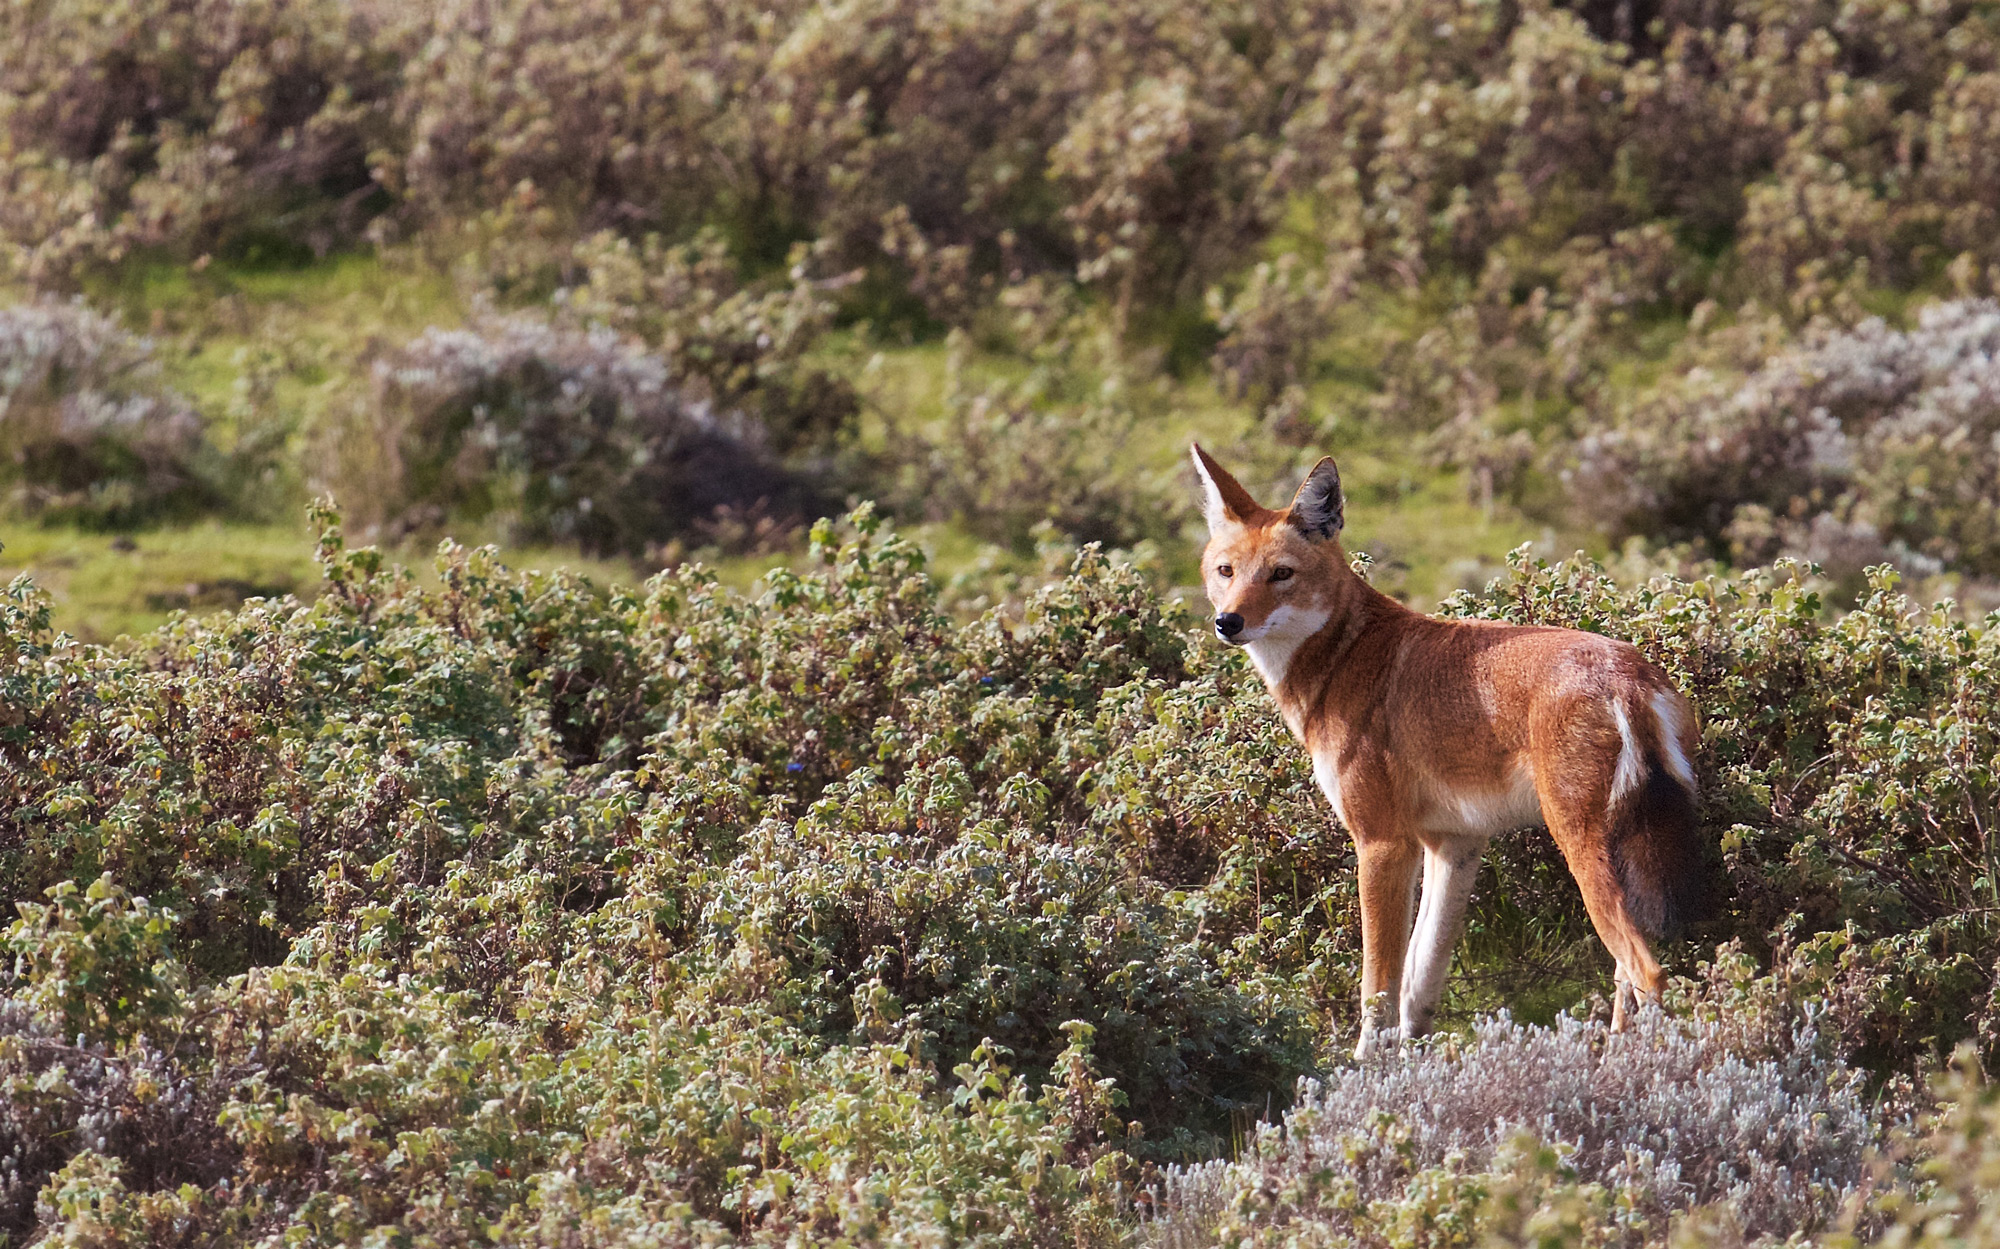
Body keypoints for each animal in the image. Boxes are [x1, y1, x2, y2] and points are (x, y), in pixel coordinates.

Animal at [1192, 446, 1712, 1056]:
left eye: (1281, 574)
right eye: (1226, 572)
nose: (1228, 622)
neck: (1344, 657)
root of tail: (1628, 677)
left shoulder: (1382, 845)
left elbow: (1377, 990)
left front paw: (1364, 1071)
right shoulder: (1454, 845)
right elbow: (1418, 987)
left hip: (1582, 854)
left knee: (1648, 972)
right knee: (1626, 974)